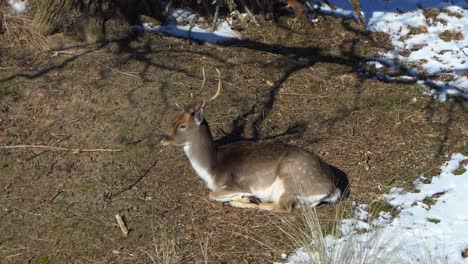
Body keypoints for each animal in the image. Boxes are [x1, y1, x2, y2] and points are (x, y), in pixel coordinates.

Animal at [161, 68, 348, 212]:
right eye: (174, 120)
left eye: (183, 125)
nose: (164, 138)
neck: (212, 170)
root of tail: (333, 187)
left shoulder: (235, 184)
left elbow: (211, 194)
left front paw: (247, 196)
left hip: (291, 181)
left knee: (282, 207)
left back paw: (251, 200)